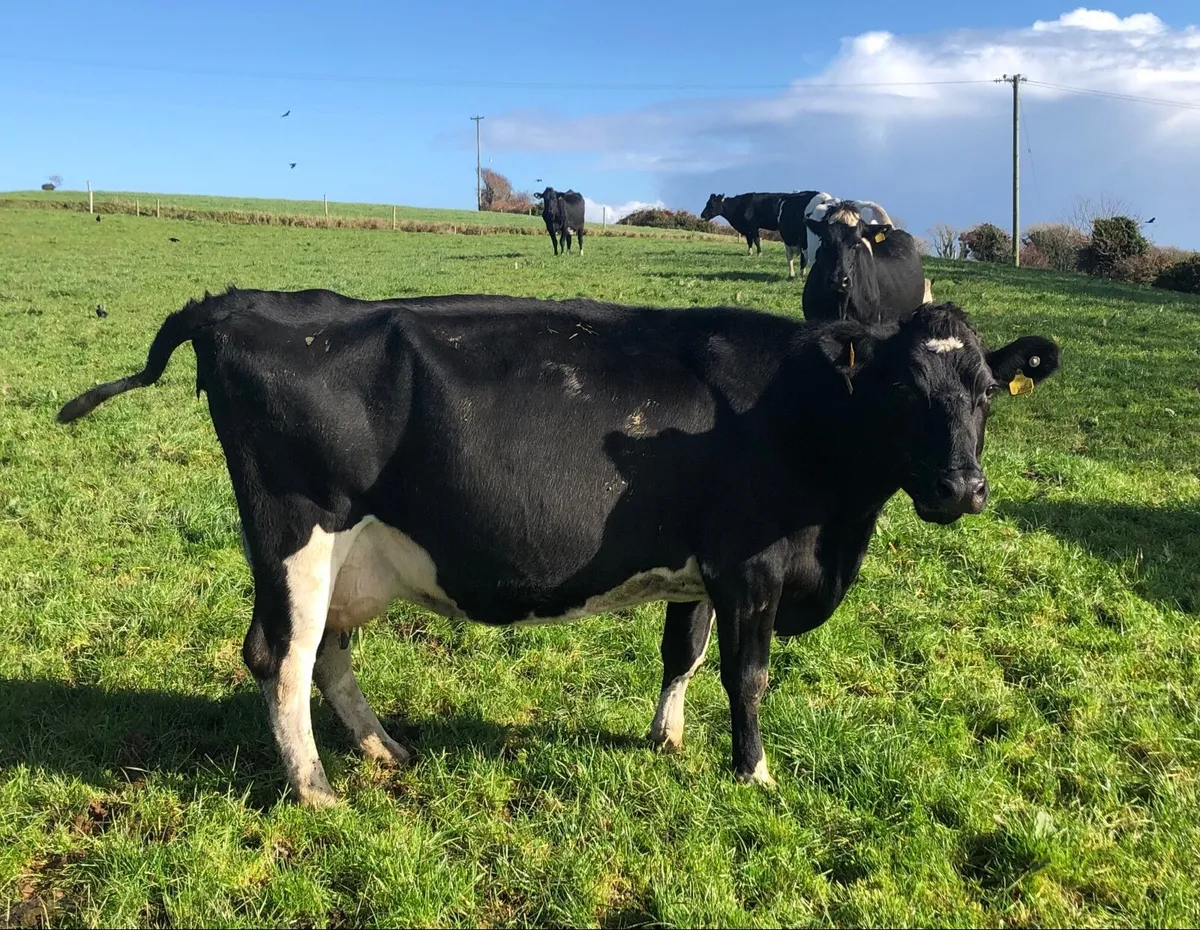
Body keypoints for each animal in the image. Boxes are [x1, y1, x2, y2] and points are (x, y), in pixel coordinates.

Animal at [57, 287, 1060, 806]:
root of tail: (237, 304)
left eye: (984, 393)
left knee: (326, 654)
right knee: (281, 656)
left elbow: (682, 652)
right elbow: (748, 676)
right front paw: (754, 770)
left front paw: (667, 738)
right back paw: (315, 788)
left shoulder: (699, 569)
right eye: (901, 391)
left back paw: (384, 751)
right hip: (297, 536)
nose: (962, 490)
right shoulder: (752, 565)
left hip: (344, 559)